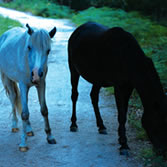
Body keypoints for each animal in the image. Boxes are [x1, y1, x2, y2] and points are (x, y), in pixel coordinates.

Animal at [0, 23, 56, 151]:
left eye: (48, 51)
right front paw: (23, 144)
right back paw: (14, 125)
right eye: (29, 47)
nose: (36, 74)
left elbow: (44, 110)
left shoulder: (41, 84)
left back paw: (29, 129)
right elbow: (24, 114)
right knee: (13, 98)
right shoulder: (23, 85)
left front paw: (50, 136)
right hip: (7, 78)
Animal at [67, 21, 167, 155]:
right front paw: (124, 145)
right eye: (159, 122)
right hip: (73, 68)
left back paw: (101, 126)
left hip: (97, 78)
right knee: (74, 95)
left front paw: (121, 139)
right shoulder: (119, 86)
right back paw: (73, 124)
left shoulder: (129, 86)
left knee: (94, 96)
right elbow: (122, 115)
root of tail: (77, 30)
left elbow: (123, 112)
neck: (130, 59)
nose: (162, 150)